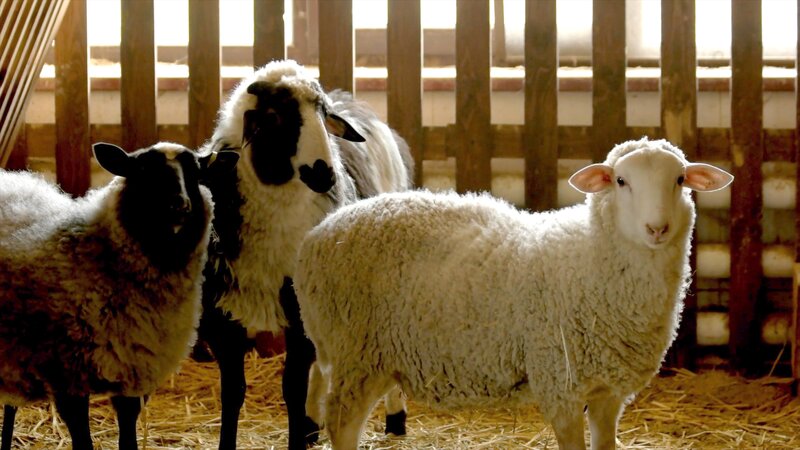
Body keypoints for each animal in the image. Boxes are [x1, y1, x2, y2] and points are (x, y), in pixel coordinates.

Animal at [0, 142, 238, 450]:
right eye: (143, 169)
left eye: (196, 172)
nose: (179, 205)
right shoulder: (67, 376)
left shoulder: (134, 373)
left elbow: (128, 435)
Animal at [195, 59, 413, 450]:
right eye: (272, 117)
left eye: (323, 116)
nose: (324, 173)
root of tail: (352, 100)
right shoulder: (224, 319)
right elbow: (232, 393)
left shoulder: (296, 314)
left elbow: (292, 390)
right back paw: (315, 425)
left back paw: (395, 419)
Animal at [292, 137, 734, 450]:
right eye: (621, 181)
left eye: (679, 180)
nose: (657, 228)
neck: (590, 258)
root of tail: (318, 235)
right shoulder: (559, 382)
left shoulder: (609, 392)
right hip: (358, 353)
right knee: (342, 422)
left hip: (352, 351)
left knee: (318, 379)